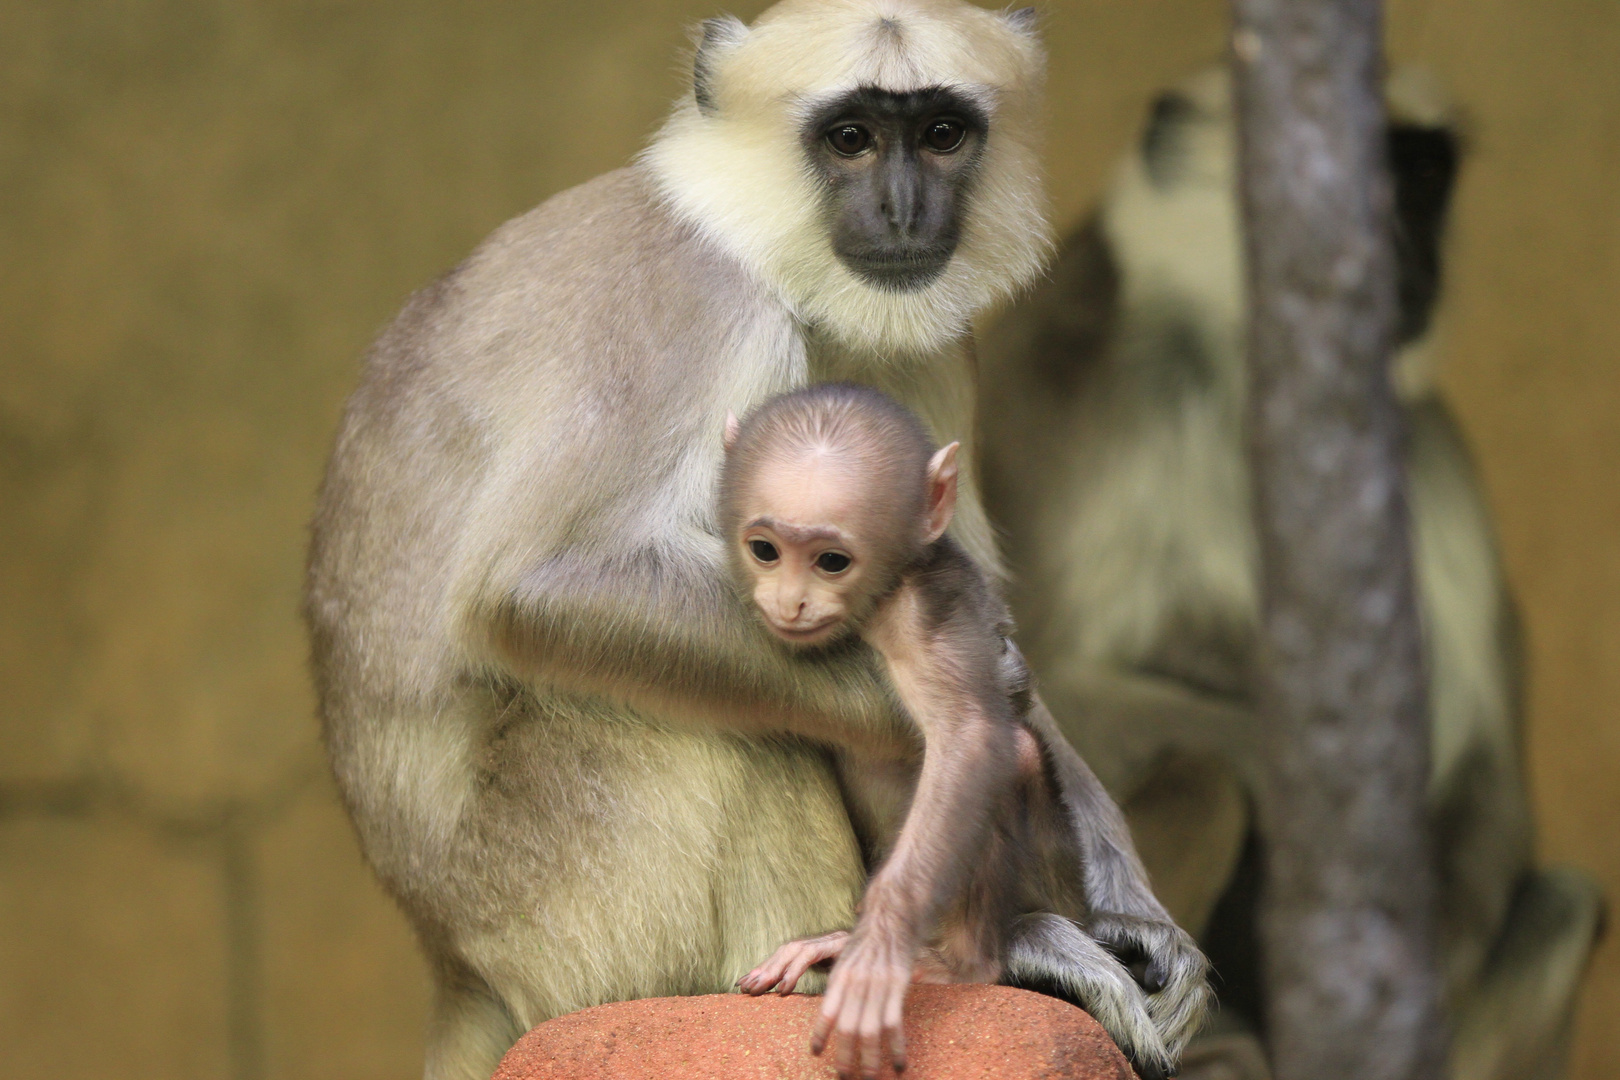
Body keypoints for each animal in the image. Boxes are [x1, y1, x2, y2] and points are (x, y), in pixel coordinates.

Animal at [725, 383, 1062, 1075]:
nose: (790, 602)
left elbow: (970, 739)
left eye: (831, 561)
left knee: (1013, 753)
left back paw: (960, 966)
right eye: (765, 550)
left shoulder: (923, 609)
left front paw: (880, 943)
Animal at [972, 65, 1607, 1080]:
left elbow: (1491, 771)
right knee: (1203, 777)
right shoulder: (1086, 379)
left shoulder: (1425, 441)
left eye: (1422, 177)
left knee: (1562, 905)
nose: (1399, 252)